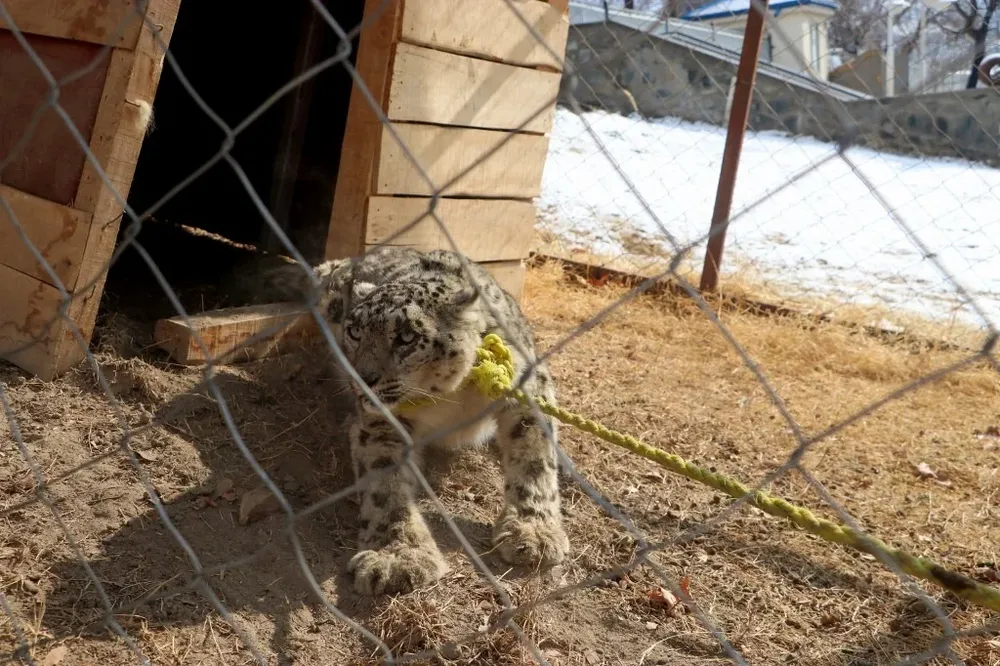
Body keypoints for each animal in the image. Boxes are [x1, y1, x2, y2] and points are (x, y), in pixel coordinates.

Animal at [268, 246, 569, 596]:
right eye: (354, 331)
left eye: (406, 337)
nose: (362, 378)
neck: (451, 397)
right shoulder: (384, 422)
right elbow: (386, 485)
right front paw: (398, 558)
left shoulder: (527, 389)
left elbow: (535, 461)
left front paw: (533, 532)